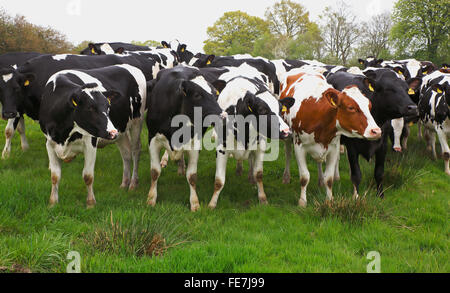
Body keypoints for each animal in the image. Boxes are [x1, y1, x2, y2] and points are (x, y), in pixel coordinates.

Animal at [41, 64, 147, 205]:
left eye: (108, 107)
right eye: (90, 108)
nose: (112, 132)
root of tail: (129, 66)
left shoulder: (90, 143)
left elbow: (88, 176)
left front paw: (91, 203)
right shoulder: (50, 143)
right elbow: (55, 176)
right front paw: (53, 202)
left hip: (136, 122)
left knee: (135, 151)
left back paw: (133, 184)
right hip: (121, 130)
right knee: (126, 153)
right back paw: (124, 183)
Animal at [146, 65, 227, 210]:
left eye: (215, 94)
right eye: (197, 95)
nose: (223, 117)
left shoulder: (194, 143)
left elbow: (192, 176)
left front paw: (195, 203)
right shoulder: (153, 139)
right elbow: (155, 172)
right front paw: (151, 199)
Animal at [207, 74, 296, 209]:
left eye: (281, 110)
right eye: (262, 110)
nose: (286, 131)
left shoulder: (260, 146)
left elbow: (258, 174)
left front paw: (263, 198)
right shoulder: (221, 148)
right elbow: (219, 181)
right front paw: (212, 204)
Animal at [280, 71, 382, 206]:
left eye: (369, 106)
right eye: (351, 107)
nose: (376, 131)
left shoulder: (334, 148)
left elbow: (329, 178)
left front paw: (329, 200)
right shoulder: (299, 146)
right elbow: (304, 177)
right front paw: (302, 202)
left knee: (319, 162)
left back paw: (320, 180)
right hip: (288, 136)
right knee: (287, 153)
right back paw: (286, 177)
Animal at [326, 67, 418, 197]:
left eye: (407, 89)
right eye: (388, 89)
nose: (412, 108)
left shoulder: (382, 145)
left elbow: (379, 173)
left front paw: (380, 195)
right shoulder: (352, 147)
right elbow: (356, 174)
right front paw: (356, 197)